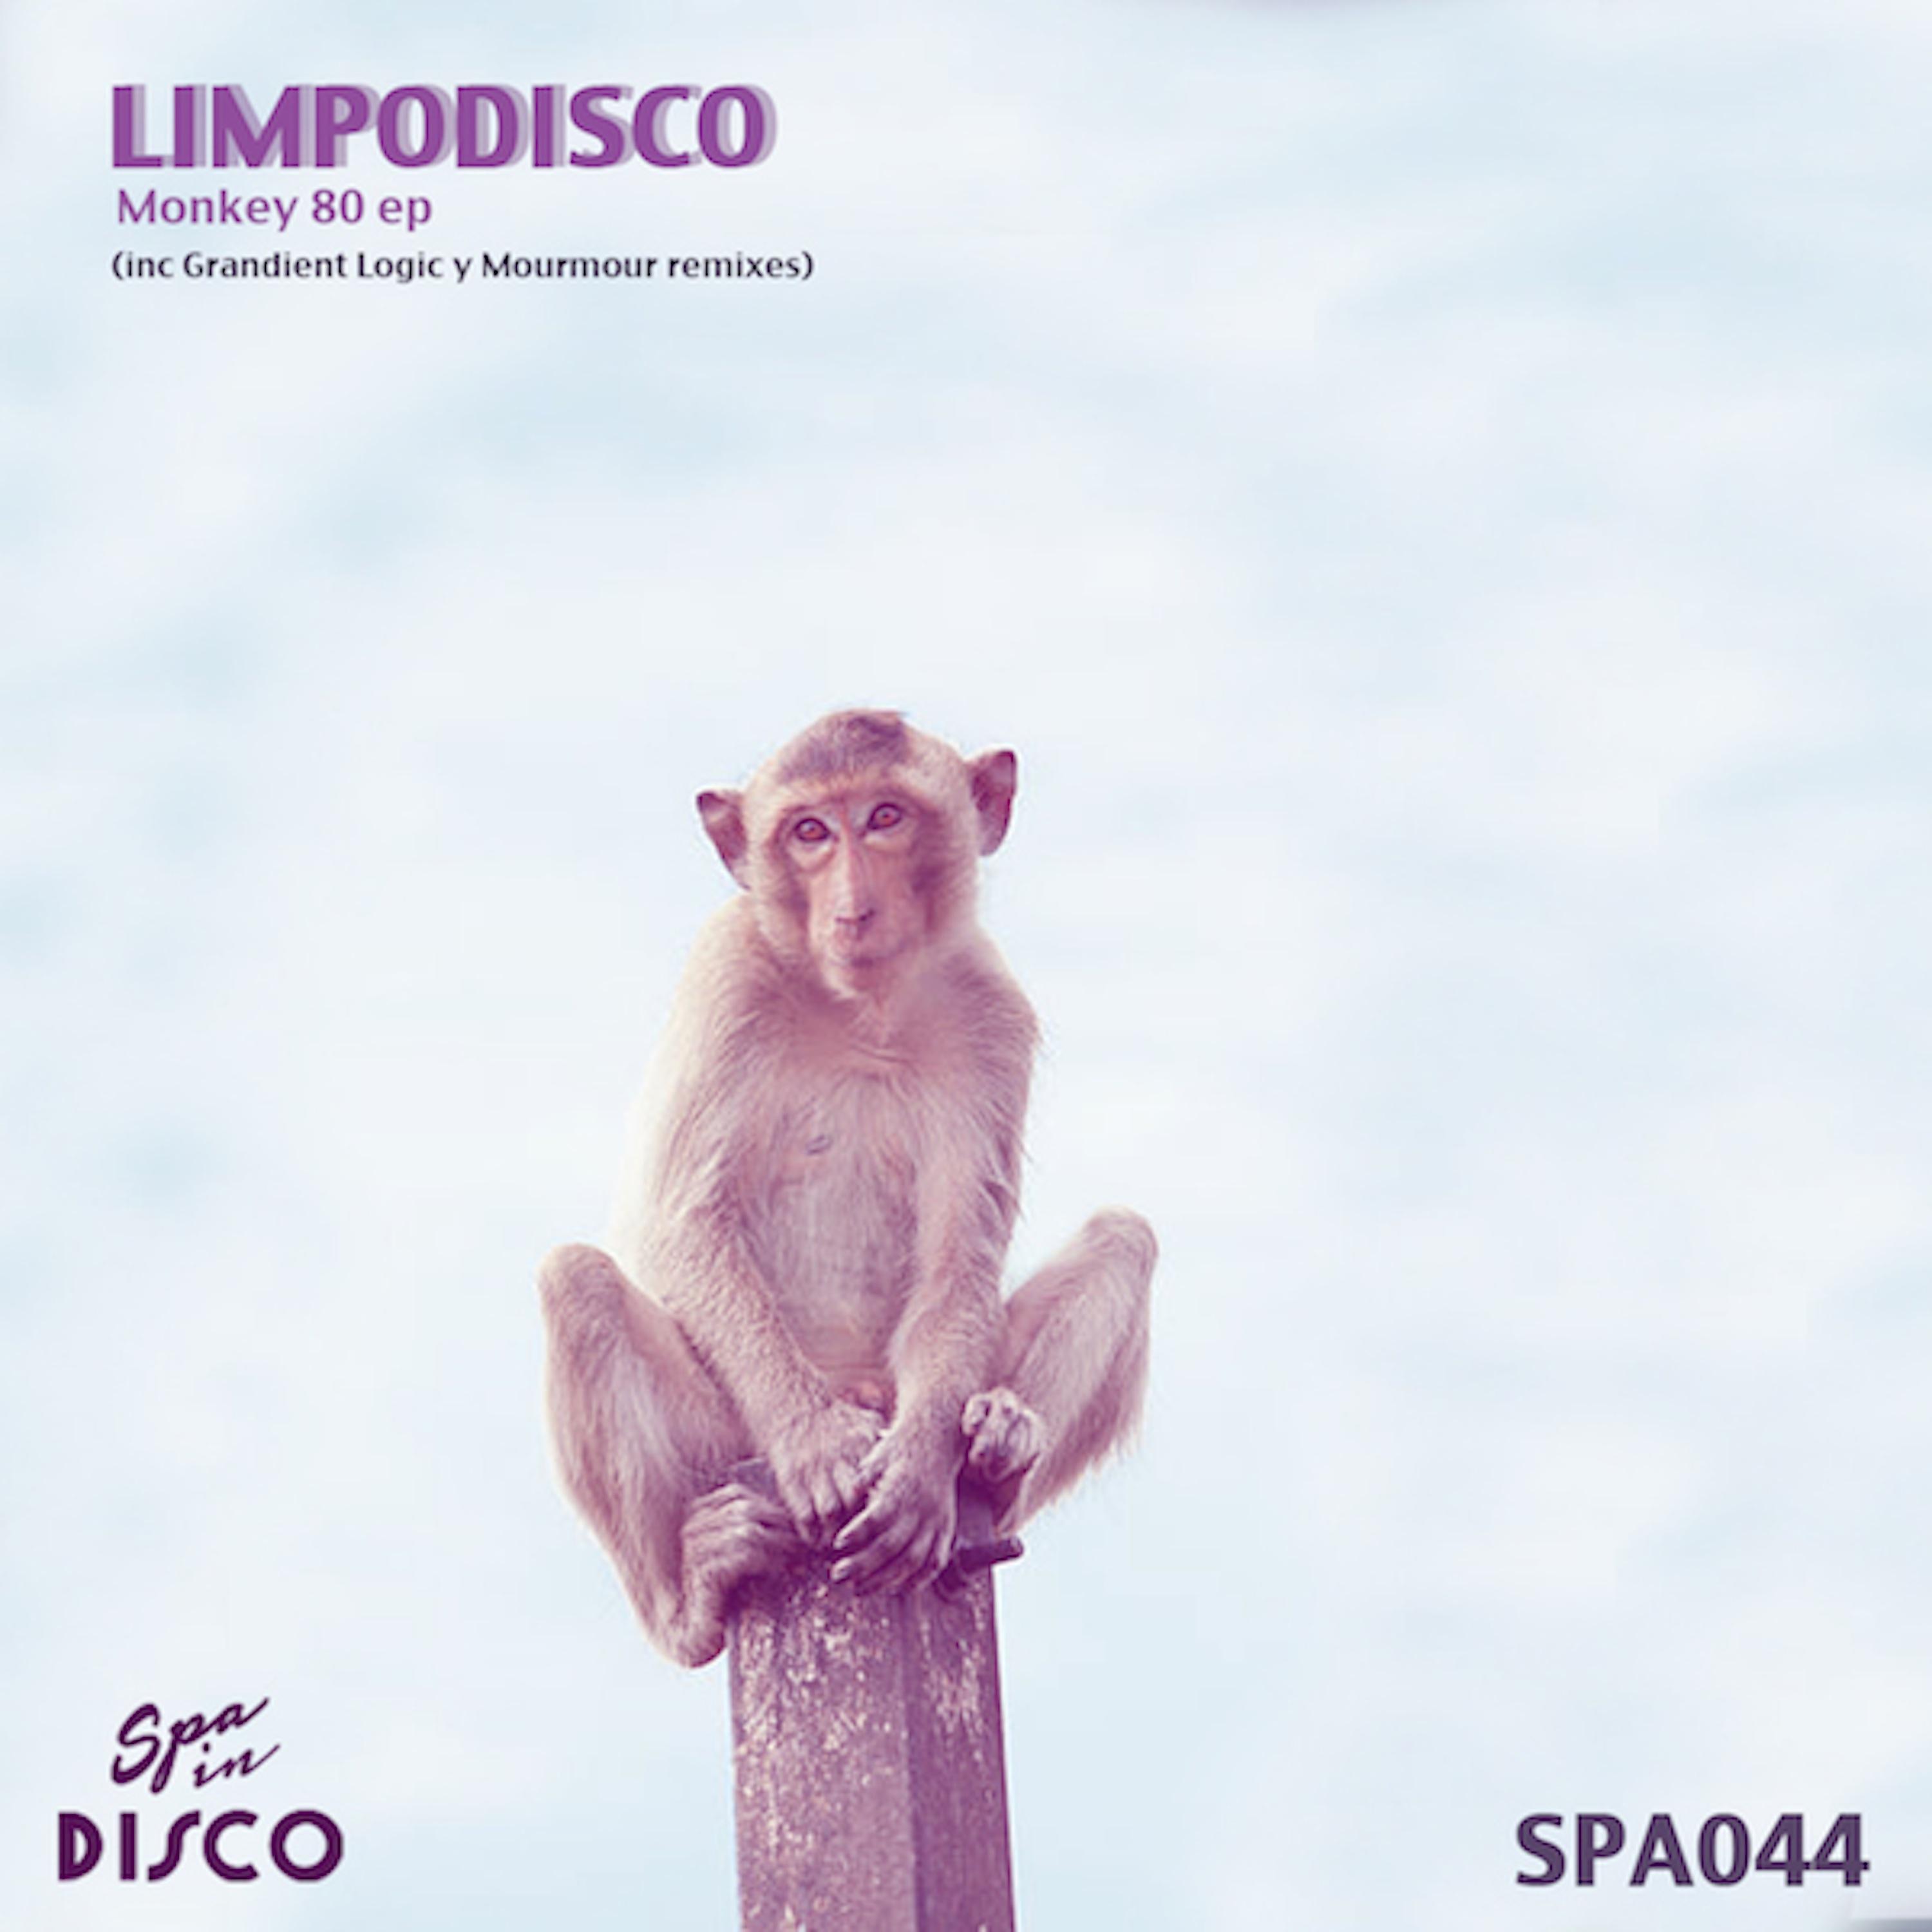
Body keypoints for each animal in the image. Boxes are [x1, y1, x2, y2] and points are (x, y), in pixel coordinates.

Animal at [539, 709, 1154, 1667]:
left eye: (885, 818)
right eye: (810, 832)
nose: (853, 906)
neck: (862, 1004)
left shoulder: (992, 1006)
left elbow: (958, 1257)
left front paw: (920, 1474)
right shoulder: (727, 969)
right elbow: (682, 1223)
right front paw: (814, 1441)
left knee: (1127, 1240)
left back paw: (997, 1448)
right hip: (723, 1440)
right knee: (576, 1282)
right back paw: (693, 1594)